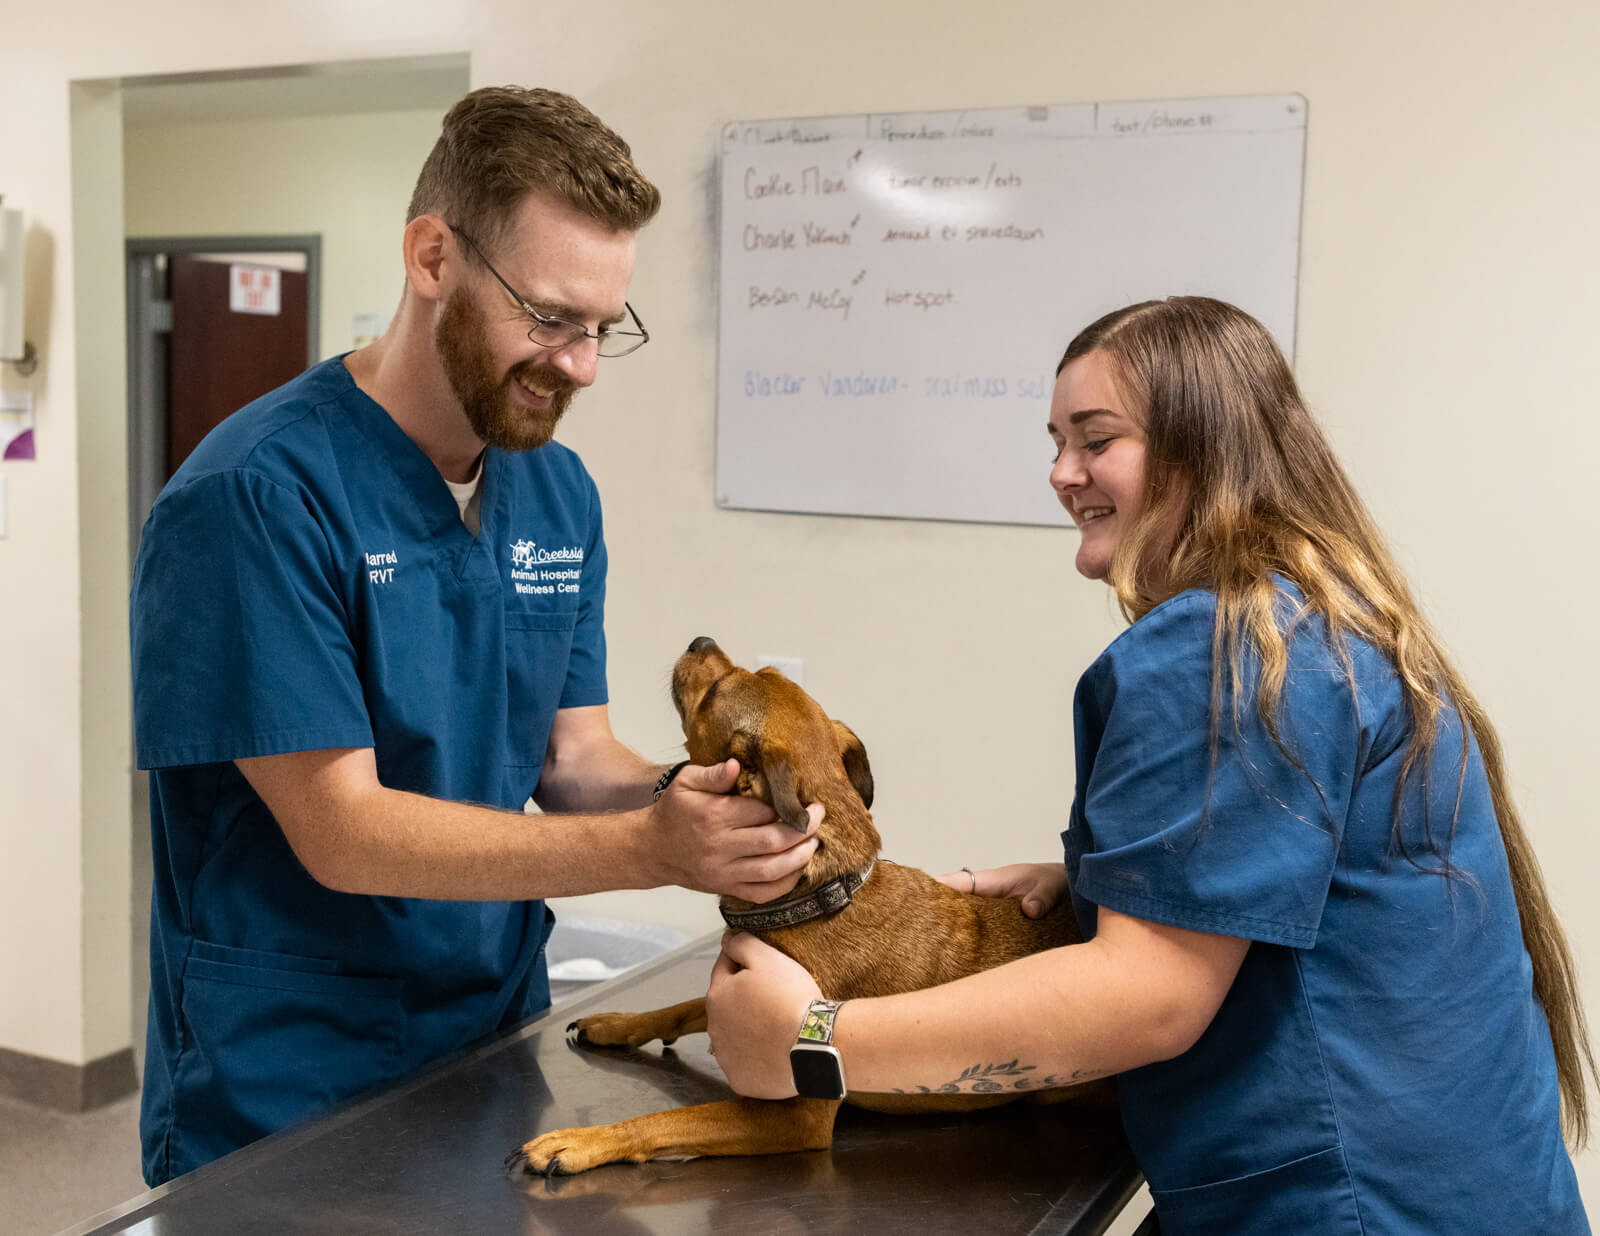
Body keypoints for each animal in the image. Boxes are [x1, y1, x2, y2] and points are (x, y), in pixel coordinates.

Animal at [512, 637, 1100, 1178]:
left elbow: (664, 1121)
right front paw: (618, 1023)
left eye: (717, 690)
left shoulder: (795, 1116)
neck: (819, 897)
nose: (701, 640)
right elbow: (682, 1005)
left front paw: (583, 1141)